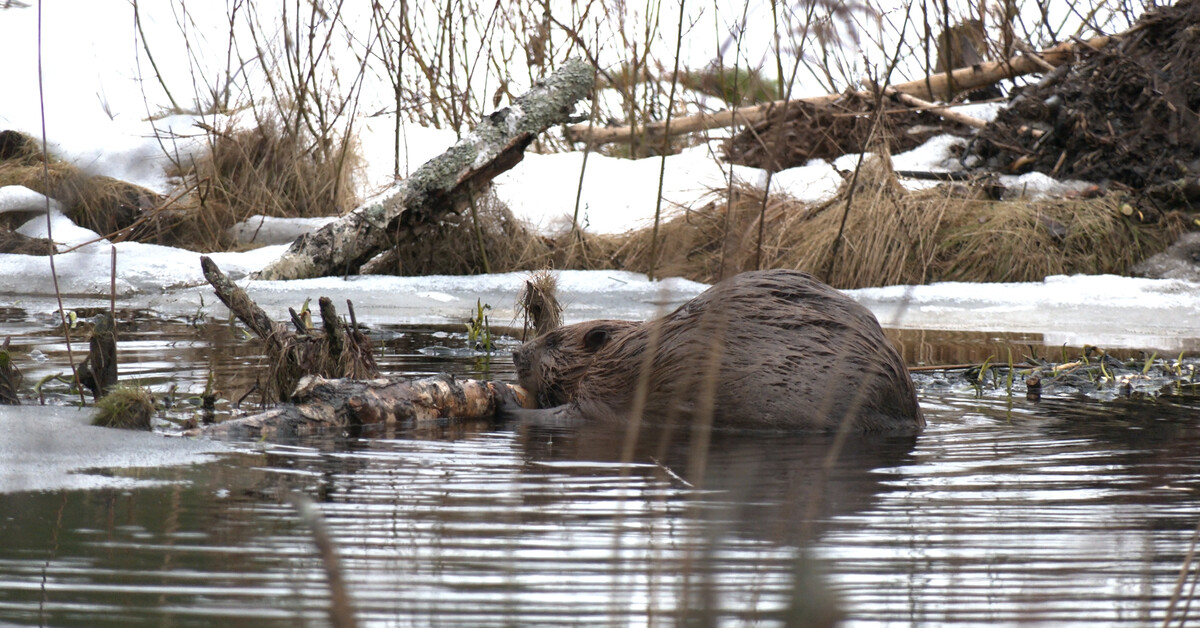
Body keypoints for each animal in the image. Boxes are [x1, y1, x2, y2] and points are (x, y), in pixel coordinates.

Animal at [501, 270, 921, 432]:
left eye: (553, 340)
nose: (517, 354)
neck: (631, 351)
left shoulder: (610, 391)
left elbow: (568, 416)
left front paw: (504, 401)